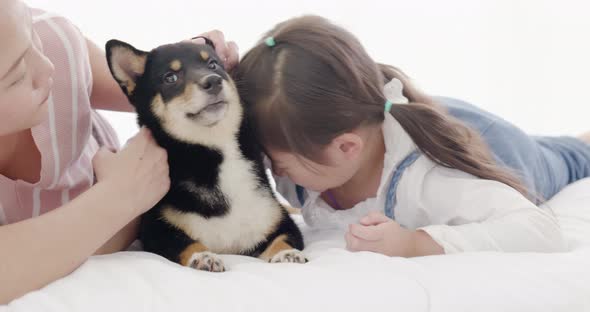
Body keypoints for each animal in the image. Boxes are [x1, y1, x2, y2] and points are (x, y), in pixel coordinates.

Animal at [106, 38, 308, 270]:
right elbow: (185, 243)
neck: (215, 151)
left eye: (213, 65)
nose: (213, 81)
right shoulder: (156, 229)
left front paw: (287, 254)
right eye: (170, 77)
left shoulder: (279, 220)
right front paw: (203, 256)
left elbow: (283, 238)